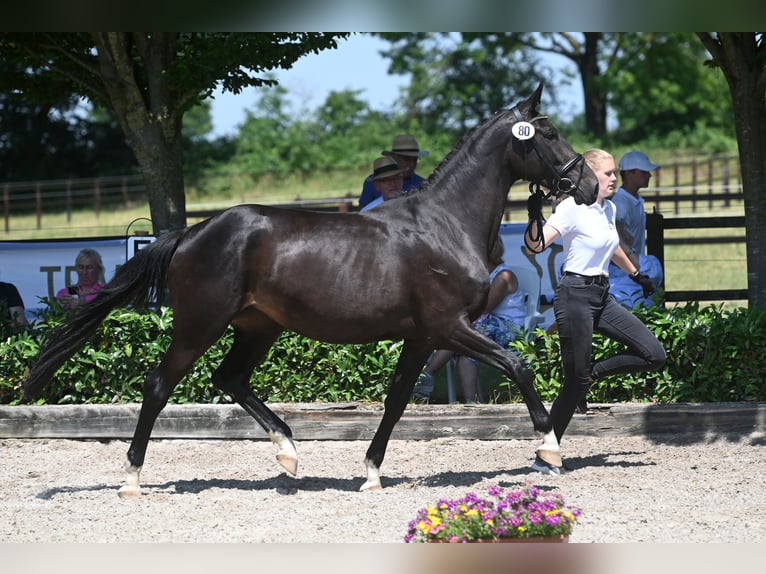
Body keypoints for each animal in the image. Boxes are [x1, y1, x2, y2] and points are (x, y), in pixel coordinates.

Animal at [22, 83, 600, 498]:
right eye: (548, 134)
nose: (590, 185)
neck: (444, 225)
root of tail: (190, 234)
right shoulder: (450, 327)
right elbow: (518, 365)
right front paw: (549, 448)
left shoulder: (421, 337)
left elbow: (396, 401)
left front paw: (371, 473)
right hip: (199, 324)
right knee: (159, 385)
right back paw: (132, 480)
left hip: (258, 327)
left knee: (229, 378)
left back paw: (289, 453)